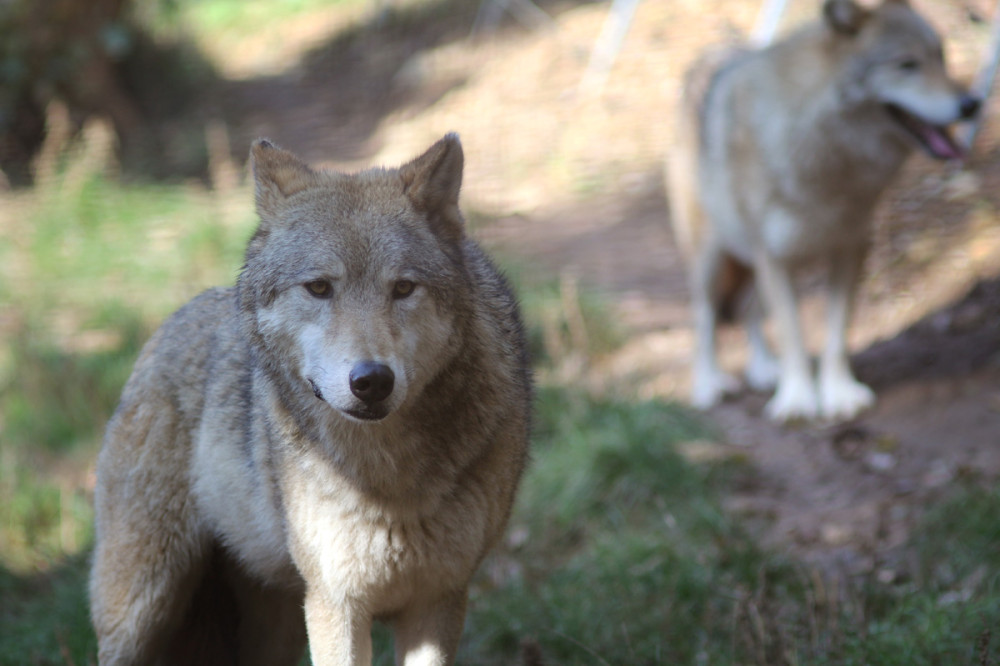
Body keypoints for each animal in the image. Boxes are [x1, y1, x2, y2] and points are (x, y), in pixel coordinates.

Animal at [90, 132, 536, 660]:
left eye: (403, 288)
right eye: (319, 287)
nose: (372, 380)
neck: (386, 481)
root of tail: (163, 329)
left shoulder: (439, 600)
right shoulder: (334, 603)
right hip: (140, 613)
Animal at [668, 0, 980, 420]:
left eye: (941, 57)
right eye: (906, 65)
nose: (971, 104)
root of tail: (705, 58)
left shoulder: (850, 249)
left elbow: (836, 333)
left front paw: (839, 393)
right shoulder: (775, 258)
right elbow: (792, 335)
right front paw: (797, 400)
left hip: (748, 262)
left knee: (748, 309)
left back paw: (763, 368)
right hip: (711, 257)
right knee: (704, 318)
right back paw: (707, 385)